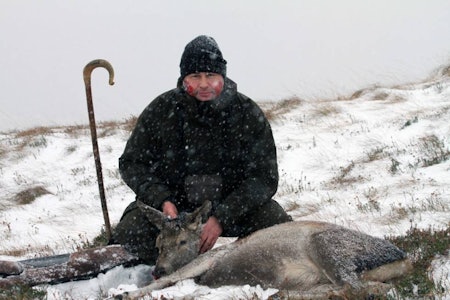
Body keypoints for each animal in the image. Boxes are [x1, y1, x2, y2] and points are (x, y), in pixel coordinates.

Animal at [114, 200, 414, 298]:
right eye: (158, 243)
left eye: (182, 242)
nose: (158, 268)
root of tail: (404, 258)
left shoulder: (209, 258)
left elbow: (172, 281)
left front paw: (125, 293)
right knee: (370, 287)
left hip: (328, 247)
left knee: (354, 287)